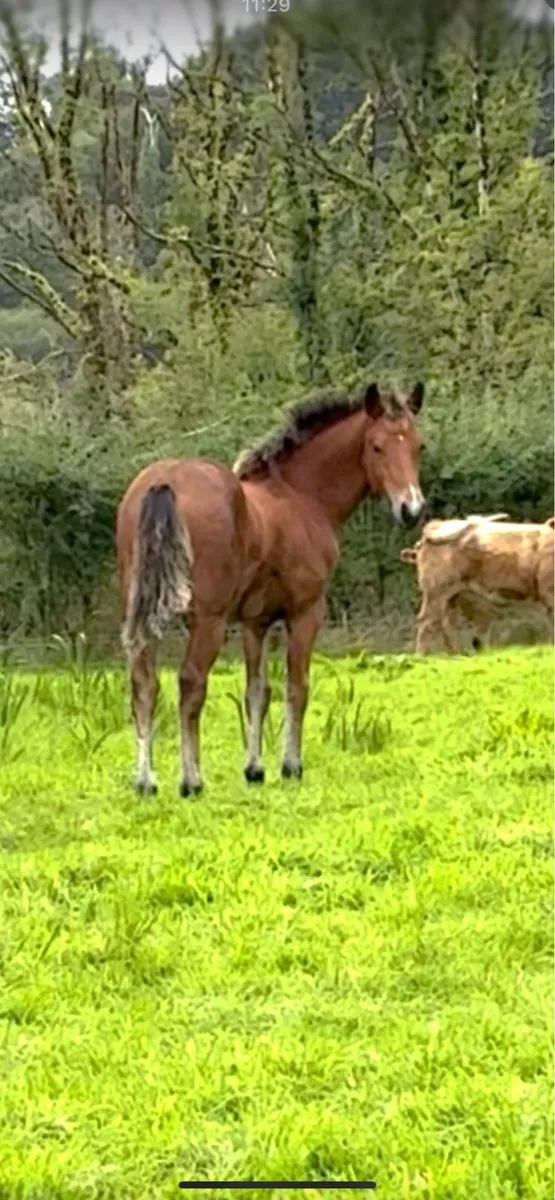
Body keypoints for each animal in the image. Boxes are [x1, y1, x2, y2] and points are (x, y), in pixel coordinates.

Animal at [115, 381, 426, 796]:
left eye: (418, 445)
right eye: (376, 446)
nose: (411, 509)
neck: (301, 495)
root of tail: (163, 482)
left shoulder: (255, 621)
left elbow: (256, 692)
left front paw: (254, 768)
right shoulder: (306, 613)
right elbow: (297, 687)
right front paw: (291, 765)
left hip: (142, 615)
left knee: (143, 685)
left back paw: (146, 780)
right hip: (208, 621)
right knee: (190, 684)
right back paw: (191, 780)